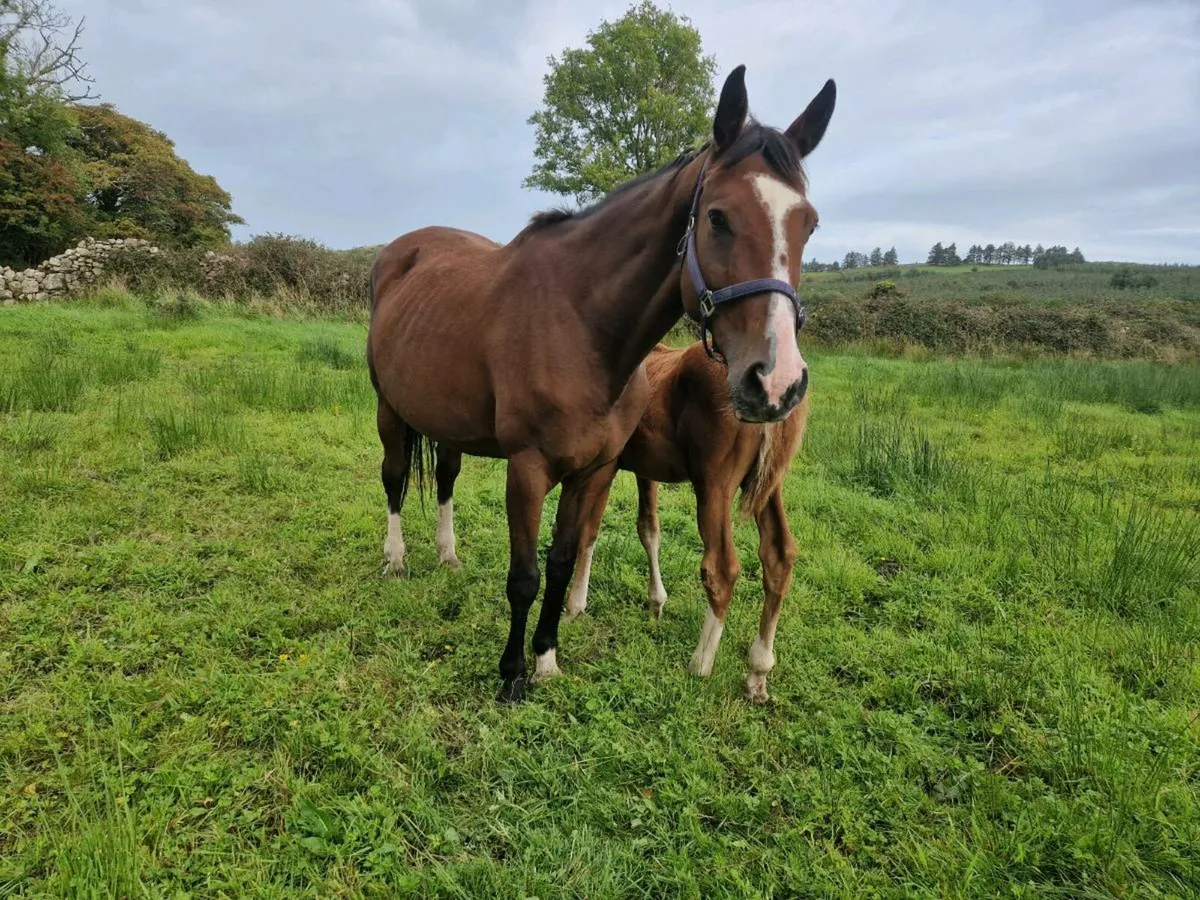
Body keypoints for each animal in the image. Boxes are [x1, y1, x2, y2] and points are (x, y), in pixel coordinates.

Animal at [562, 340, 810, 704]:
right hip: (768, 485)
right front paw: (656, 604)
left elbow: (587, 531)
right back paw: (757, 672)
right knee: (778, 555)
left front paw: (574, 607)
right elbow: (649, 529)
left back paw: (700, 663)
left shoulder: (605, 464)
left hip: (714, 484)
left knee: (721, 567)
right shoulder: (644, 469)